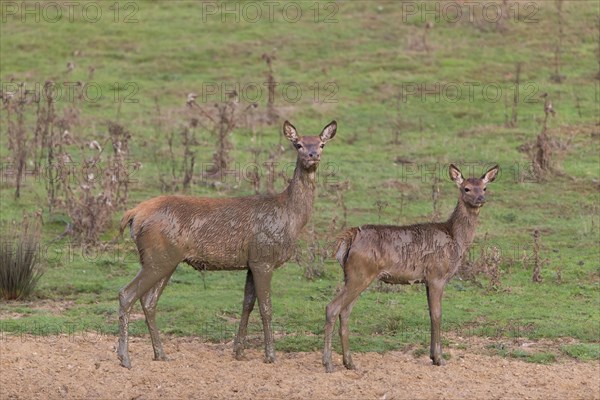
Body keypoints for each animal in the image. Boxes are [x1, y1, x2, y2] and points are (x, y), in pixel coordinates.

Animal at [115, 119, 336, 368]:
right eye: (298, 144)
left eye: (322, 144)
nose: (312, 155)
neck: (290, 217)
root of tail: (133, 214)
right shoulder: (263, 258)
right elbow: (266, 308)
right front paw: (270, 356)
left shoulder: (251, 263)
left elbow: (247, 304)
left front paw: (239, 351)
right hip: (157, 257)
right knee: (126, 294)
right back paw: (125, 358)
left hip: (166, 259)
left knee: (149, 301)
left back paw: (160, 353)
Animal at [322, 162, 500, 372]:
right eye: (466, 188)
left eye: (484, 187)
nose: (481, 199)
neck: (456, 239)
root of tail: (350, 237)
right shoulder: (437, 275)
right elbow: (438, 315)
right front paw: (440, 358)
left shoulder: (427, 280)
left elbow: (430, 313)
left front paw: (432, 355)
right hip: (360, 273)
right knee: (333, 307)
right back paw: (328, 364)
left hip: (352, 275)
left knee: (345, 311)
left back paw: (349, 362)